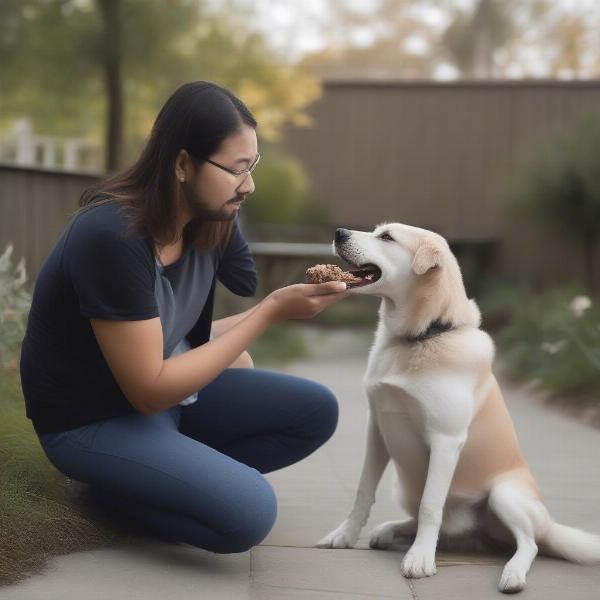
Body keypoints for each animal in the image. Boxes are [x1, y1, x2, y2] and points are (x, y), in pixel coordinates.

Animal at [314, 223, 600, 592]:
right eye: (377, 231)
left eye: (387, 237)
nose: (339, 232)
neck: (423, 335)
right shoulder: (376, 428)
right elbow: (363, 493)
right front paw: (344, 536)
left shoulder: (445, 440)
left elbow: (430, 506)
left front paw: (420, 560)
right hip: (405, 488)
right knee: (432, 526)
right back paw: (389, 532)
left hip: (504, 495)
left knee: (529, 544)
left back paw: (511, 573)